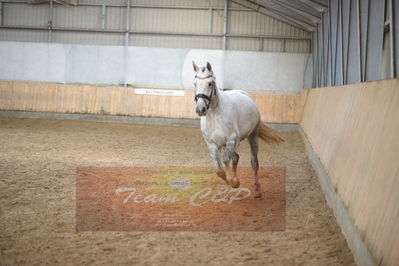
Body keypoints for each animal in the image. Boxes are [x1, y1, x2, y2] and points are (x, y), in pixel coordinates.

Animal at [194, 60, 284, 197]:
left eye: (209, 83)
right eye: (195, 83)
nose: (200, 109)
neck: (215, 114)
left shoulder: (232, 140)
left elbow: (225, 159)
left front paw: (234, 182)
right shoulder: (212, 144)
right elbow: (219, 170)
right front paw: (230, 180)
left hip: (253, 136)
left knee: (254, 162)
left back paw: (257, 190)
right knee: (236, 157)